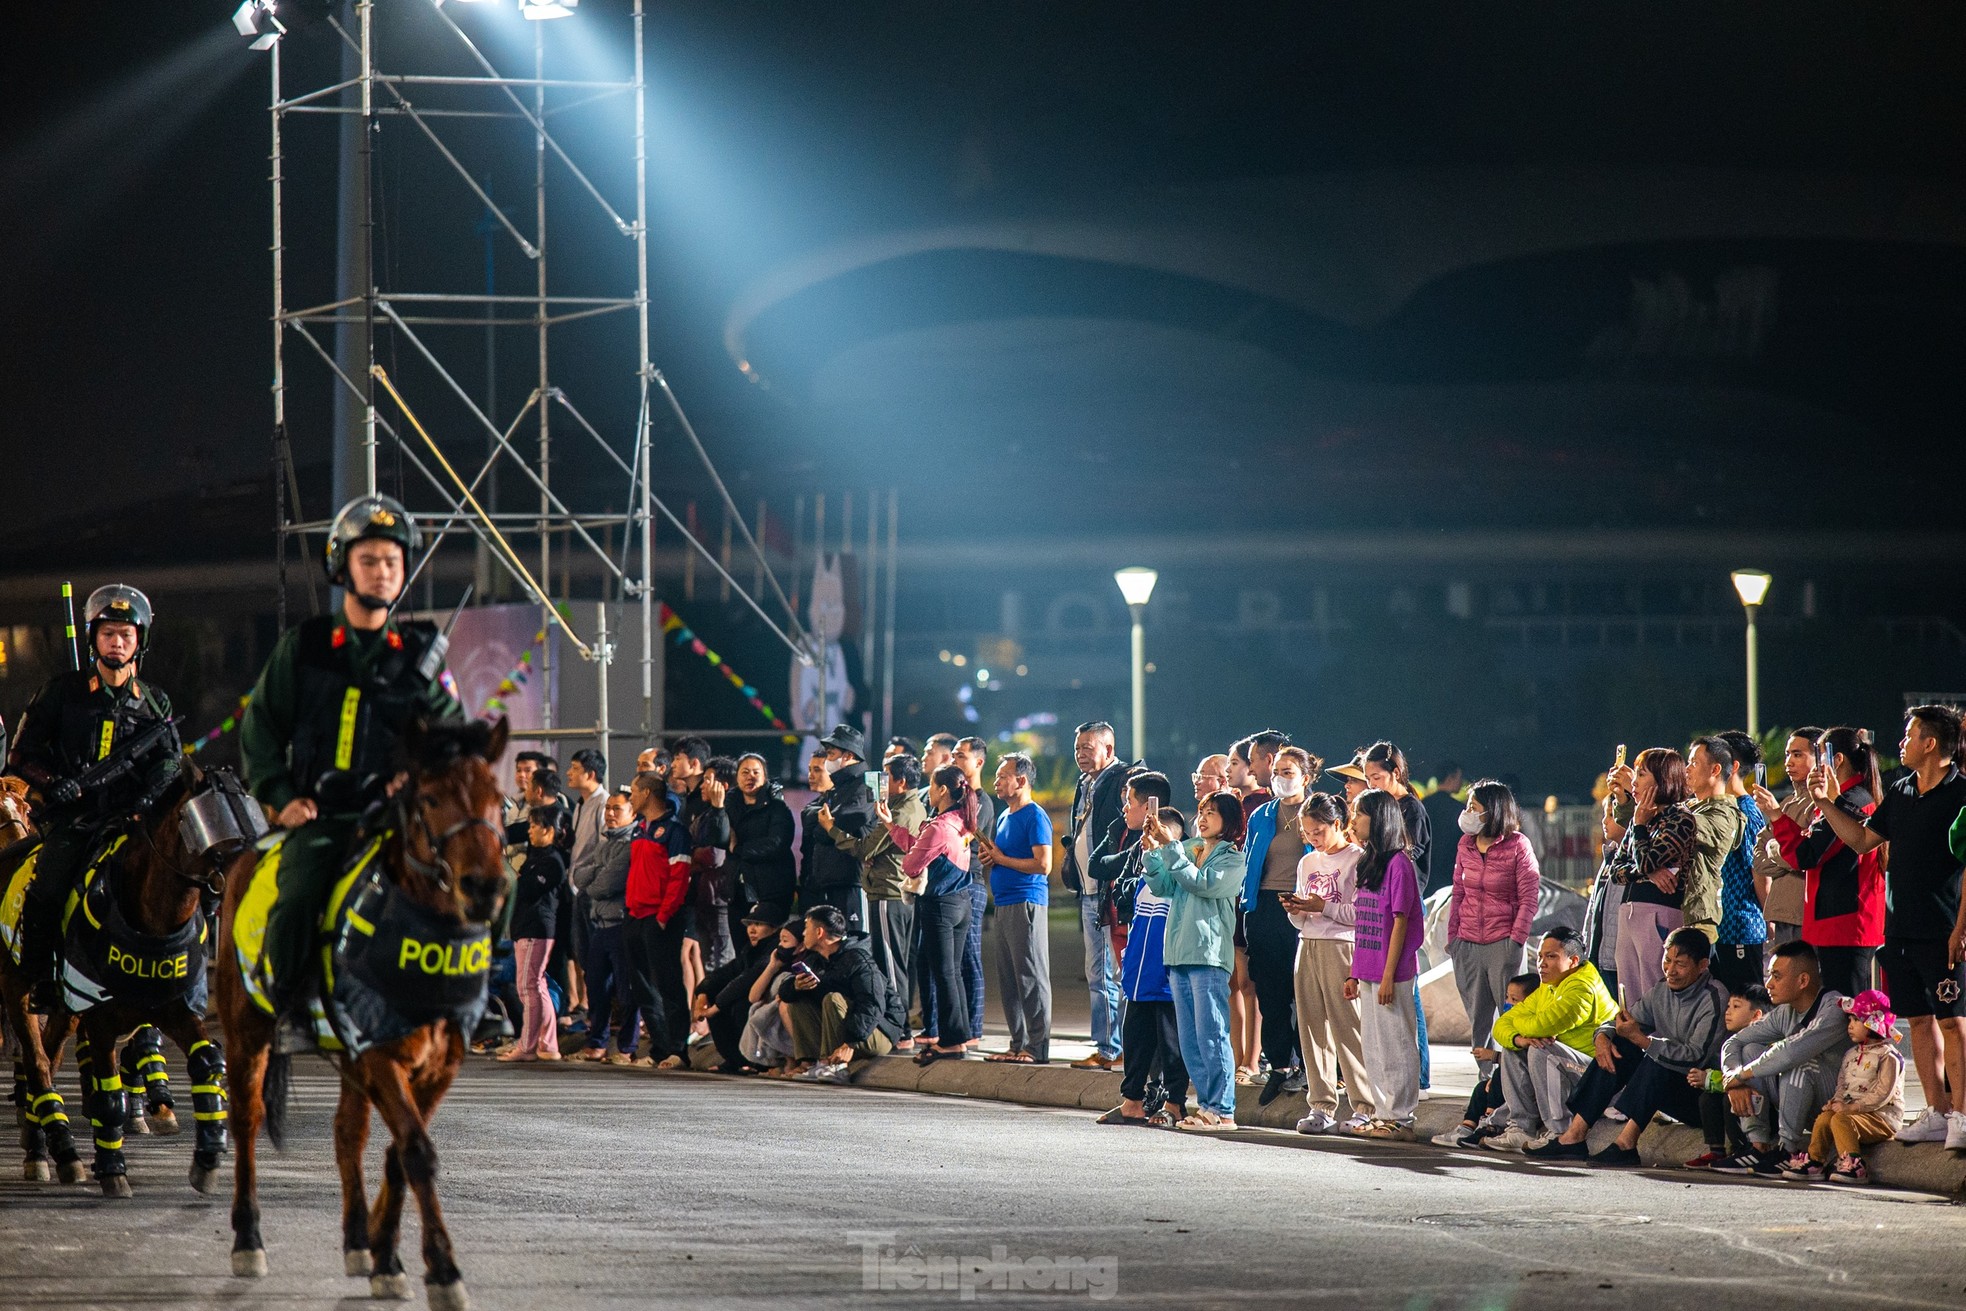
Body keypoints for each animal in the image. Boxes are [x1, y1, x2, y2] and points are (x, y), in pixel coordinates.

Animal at [0, 762, 253, 1195]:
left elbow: (203, 1059)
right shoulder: (99, 1017)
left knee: (47, 1059)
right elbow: (108, 1092)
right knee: (38, 1064)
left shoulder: (173, 1008)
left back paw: (45, 1144)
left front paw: (207, 1154)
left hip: (61, 1011)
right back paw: (56, 1151)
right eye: (213, 821)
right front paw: (112, 1167)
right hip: (18, 992)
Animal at [217, 719, 507, 1311]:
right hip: (246, 1030)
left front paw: (386, 1254)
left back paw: (356, 1240)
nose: (484, 887)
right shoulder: (378, 1053)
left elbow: (397, 1152)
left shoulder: (437, 1066)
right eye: (431, 798)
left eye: (498, 798)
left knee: (347, 1130)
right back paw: (248, 1238)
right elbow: (415, 1150)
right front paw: (442, 1269)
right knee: (247, 1117)